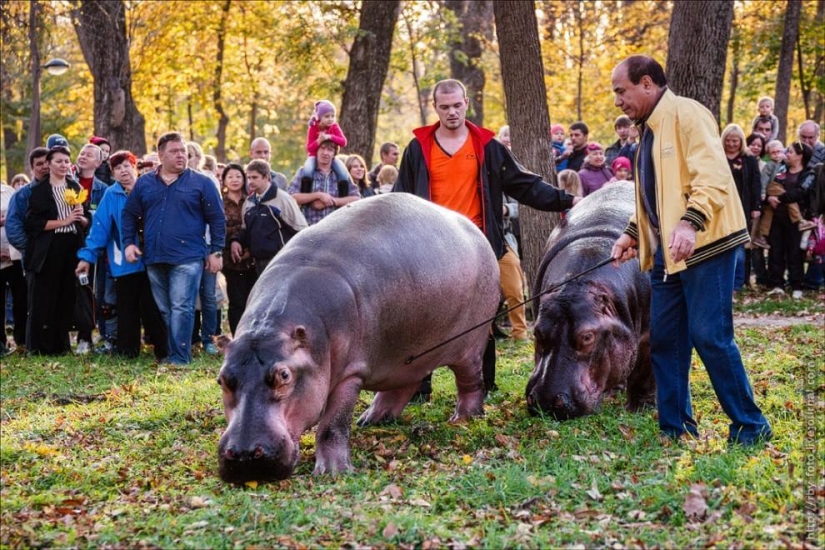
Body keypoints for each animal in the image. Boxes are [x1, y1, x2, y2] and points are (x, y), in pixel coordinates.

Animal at [217, 193, 496, 484]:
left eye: (284, 375)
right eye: (222, 379)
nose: (244, 454)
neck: (273, 328)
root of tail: (473, 229)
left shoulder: (350, 374)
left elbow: (332, 425)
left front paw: (332, 472)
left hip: (471, 344)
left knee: (470, 381)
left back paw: (463, 418)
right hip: (405, 352)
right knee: (404, 384)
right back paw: (371, 419)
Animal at [524, 183, 652, 420]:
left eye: (587, 337)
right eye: (537, 331)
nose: (546, 401)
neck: (579, 283)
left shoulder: (650, 334)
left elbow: (645, 373)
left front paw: (640, 408)